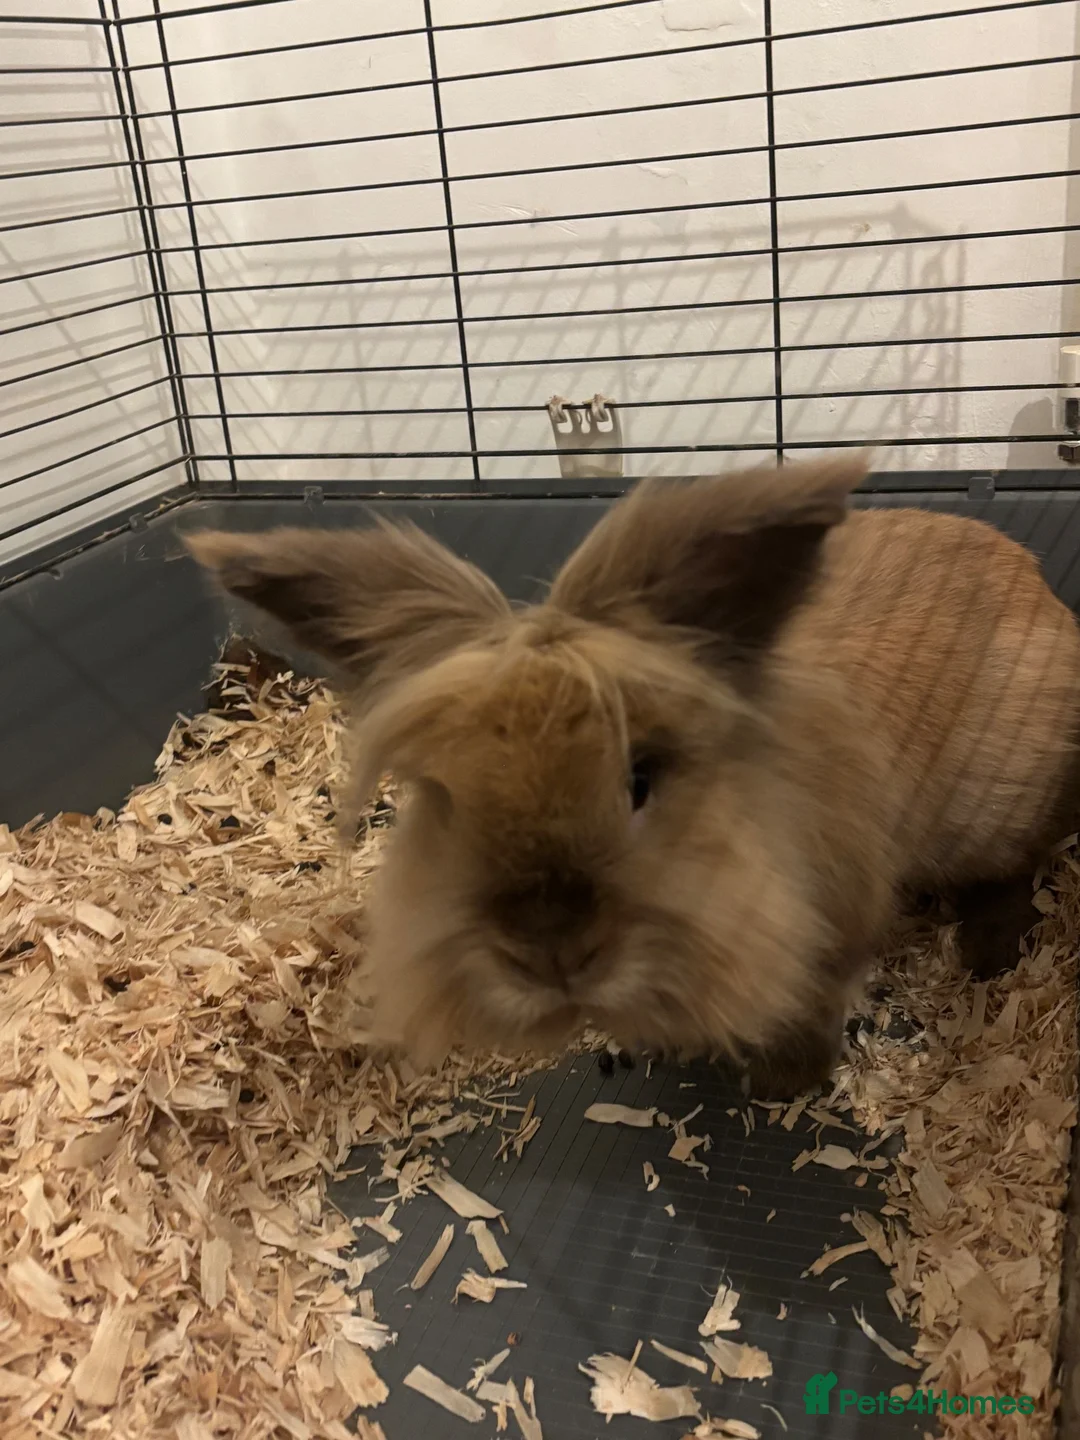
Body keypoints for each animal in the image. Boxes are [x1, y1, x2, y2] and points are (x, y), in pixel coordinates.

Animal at [187, 451, 1080, 1100]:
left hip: (1002, 805)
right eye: (444, 798)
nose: (550, 952)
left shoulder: (833, 932)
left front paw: (778, 1086)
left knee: (1018, 867)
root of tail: (1042, 589)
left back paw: (985, 955)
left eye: (641, 779)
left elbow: (811, 1010)